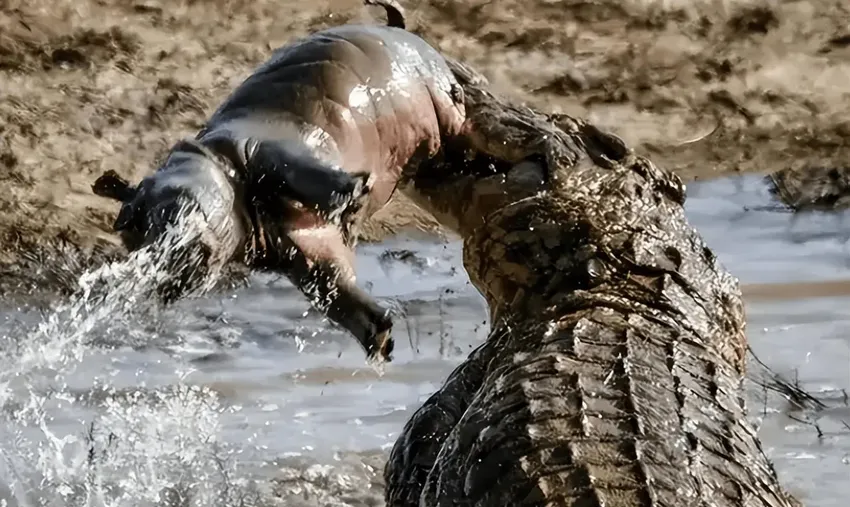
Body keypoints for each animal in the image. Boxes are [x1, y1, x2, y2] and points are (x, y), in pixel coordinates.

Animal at [92, 0, 464, 366]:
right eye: (126, 226)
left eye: (139, 213)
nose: (157, 268)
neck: (216, 162)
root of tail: (396, 28)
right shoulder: (292, 244)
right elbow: (332, 286)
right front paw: (380, 339)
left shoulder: (260, 149)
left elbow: (301, 174)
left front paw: (356, 194)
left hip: (441, 103)